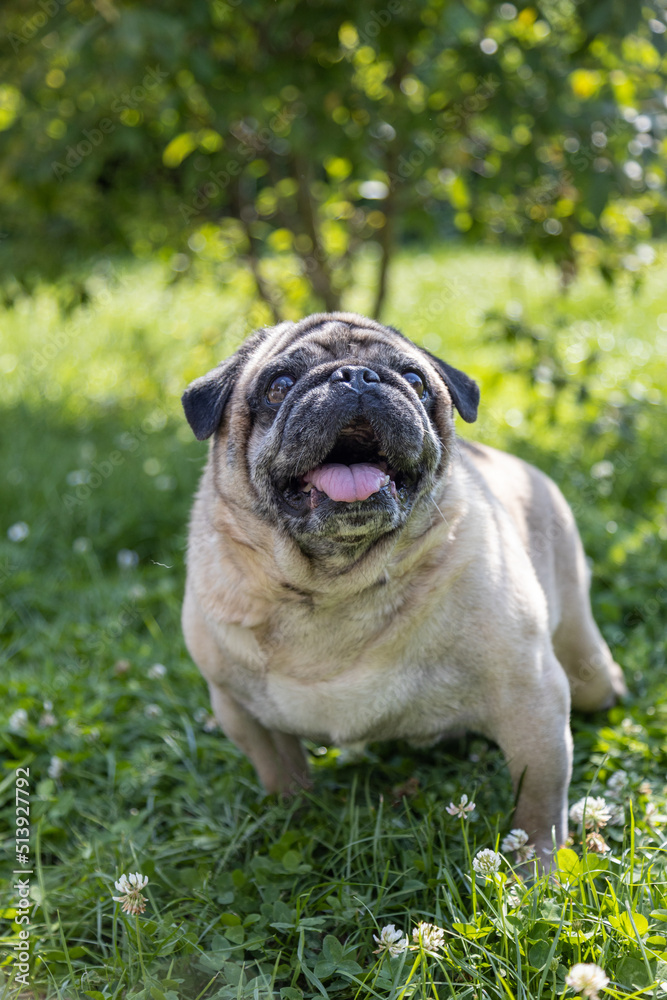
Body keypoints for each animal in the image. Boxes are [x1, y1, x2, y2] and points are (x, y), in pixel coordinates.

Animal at [179, 310, 628, 868]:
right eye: (277, 387)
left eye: (414, 380)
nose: (355, 376)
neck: (334, 587)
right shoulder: (241, 713)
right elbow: (282, 777)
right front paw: (293, 821)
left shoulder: (531, 699)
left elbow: (539, 803)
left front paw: (537, 868)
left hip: (584, 668)